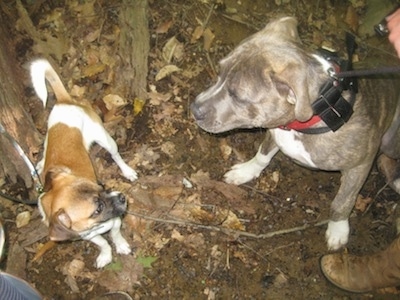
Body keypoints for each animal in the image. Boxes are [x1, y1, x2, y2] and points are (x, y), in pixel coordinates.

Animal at [30, 58, 138, 268]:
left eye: (102, 186)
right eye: (97, 209)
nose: (122, 197)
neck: (94, 225)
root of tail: (64, 101)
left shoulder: (115, 221)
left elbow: (115, 235)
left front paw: (121, 246)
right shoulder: (87, 236)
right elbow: (103, 242)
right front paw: (106, 254)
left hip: (106, 139)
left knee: (116, 156)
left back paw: (127, 171)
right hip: (49, 138)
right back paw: (39, 164)